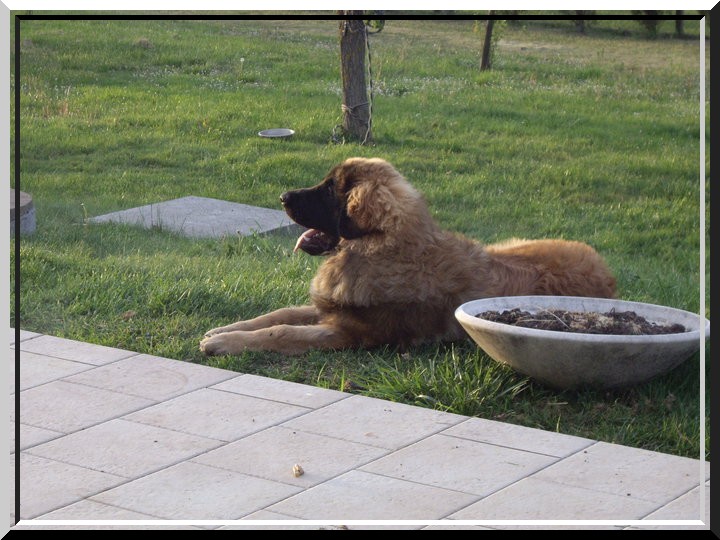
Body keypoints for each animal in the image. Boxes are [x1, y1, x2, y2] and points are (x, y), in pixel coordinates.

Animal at [200, 158, 616, 356]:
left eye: (330, 189)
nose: (283, 197)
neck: (379, 248)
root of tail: (608, 277)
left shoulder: (349, 331)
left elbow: (282, 330)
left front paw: (224, 343)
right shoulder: (330, 306)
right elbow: (277, 314)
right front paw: (225, 330)